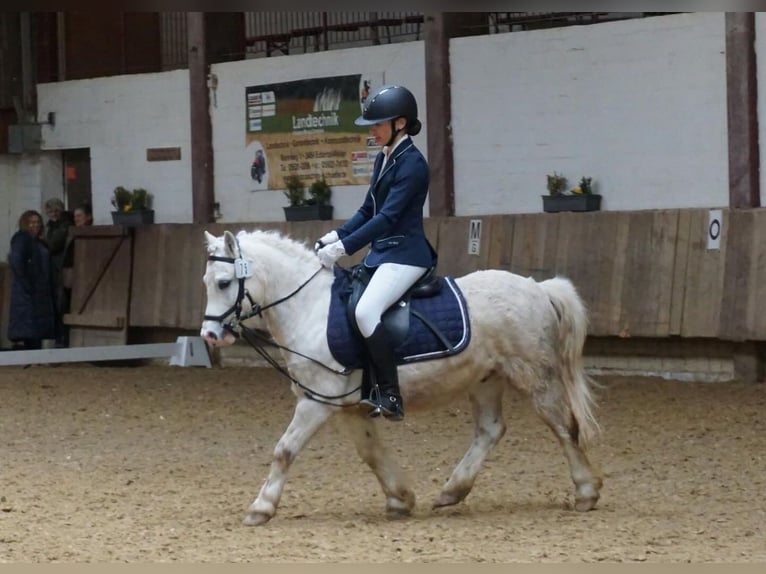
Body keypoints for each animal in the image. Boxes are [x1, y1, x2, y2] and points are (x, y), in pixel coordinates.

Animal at [201, 230, 604, 528]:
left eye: (222, 283)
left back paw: (586, 492)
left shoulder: (316, 402)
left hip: (535, 376)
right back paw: (452, 491)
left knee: (563, 427)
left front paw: (261, 507)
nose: (209, 335)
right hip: (485, 379)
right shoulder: (347, 407)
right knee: (490, 430)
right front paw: (400, 499)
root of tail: (539, 287)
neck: (310, 309)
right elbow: (372, 453)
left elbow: (284, 450)